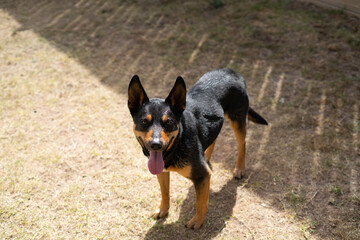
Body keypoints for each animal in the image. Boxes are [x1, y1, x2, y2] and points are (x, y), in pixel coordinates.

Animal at [127, 68, 268, 229]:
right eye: (144, 121)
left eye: (168, 122)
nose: (156, 145)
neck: (178, 142)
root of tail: (231, 71)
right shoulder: (162, 171)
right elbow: (165, 192)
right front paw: (163, 209)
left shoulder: (202, 176)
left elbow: (200, 202)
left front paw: (197, 221)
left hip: (237, 119)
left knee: (242, 143)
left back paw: (239, 168)